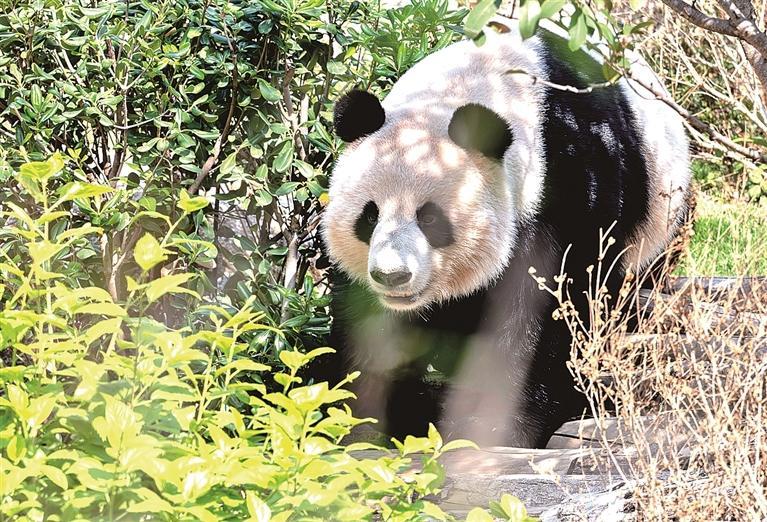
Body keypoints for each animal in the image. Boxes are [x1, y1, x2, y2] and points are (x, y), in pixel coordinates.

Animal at [317, 21, 691, 449]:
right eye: (369, 216)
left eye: (430, 219)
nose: (392, 276)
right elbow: (366, 320)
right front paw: (365, 418)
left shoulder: (567, 186)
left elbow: (548, 308)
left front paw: (498, 427)